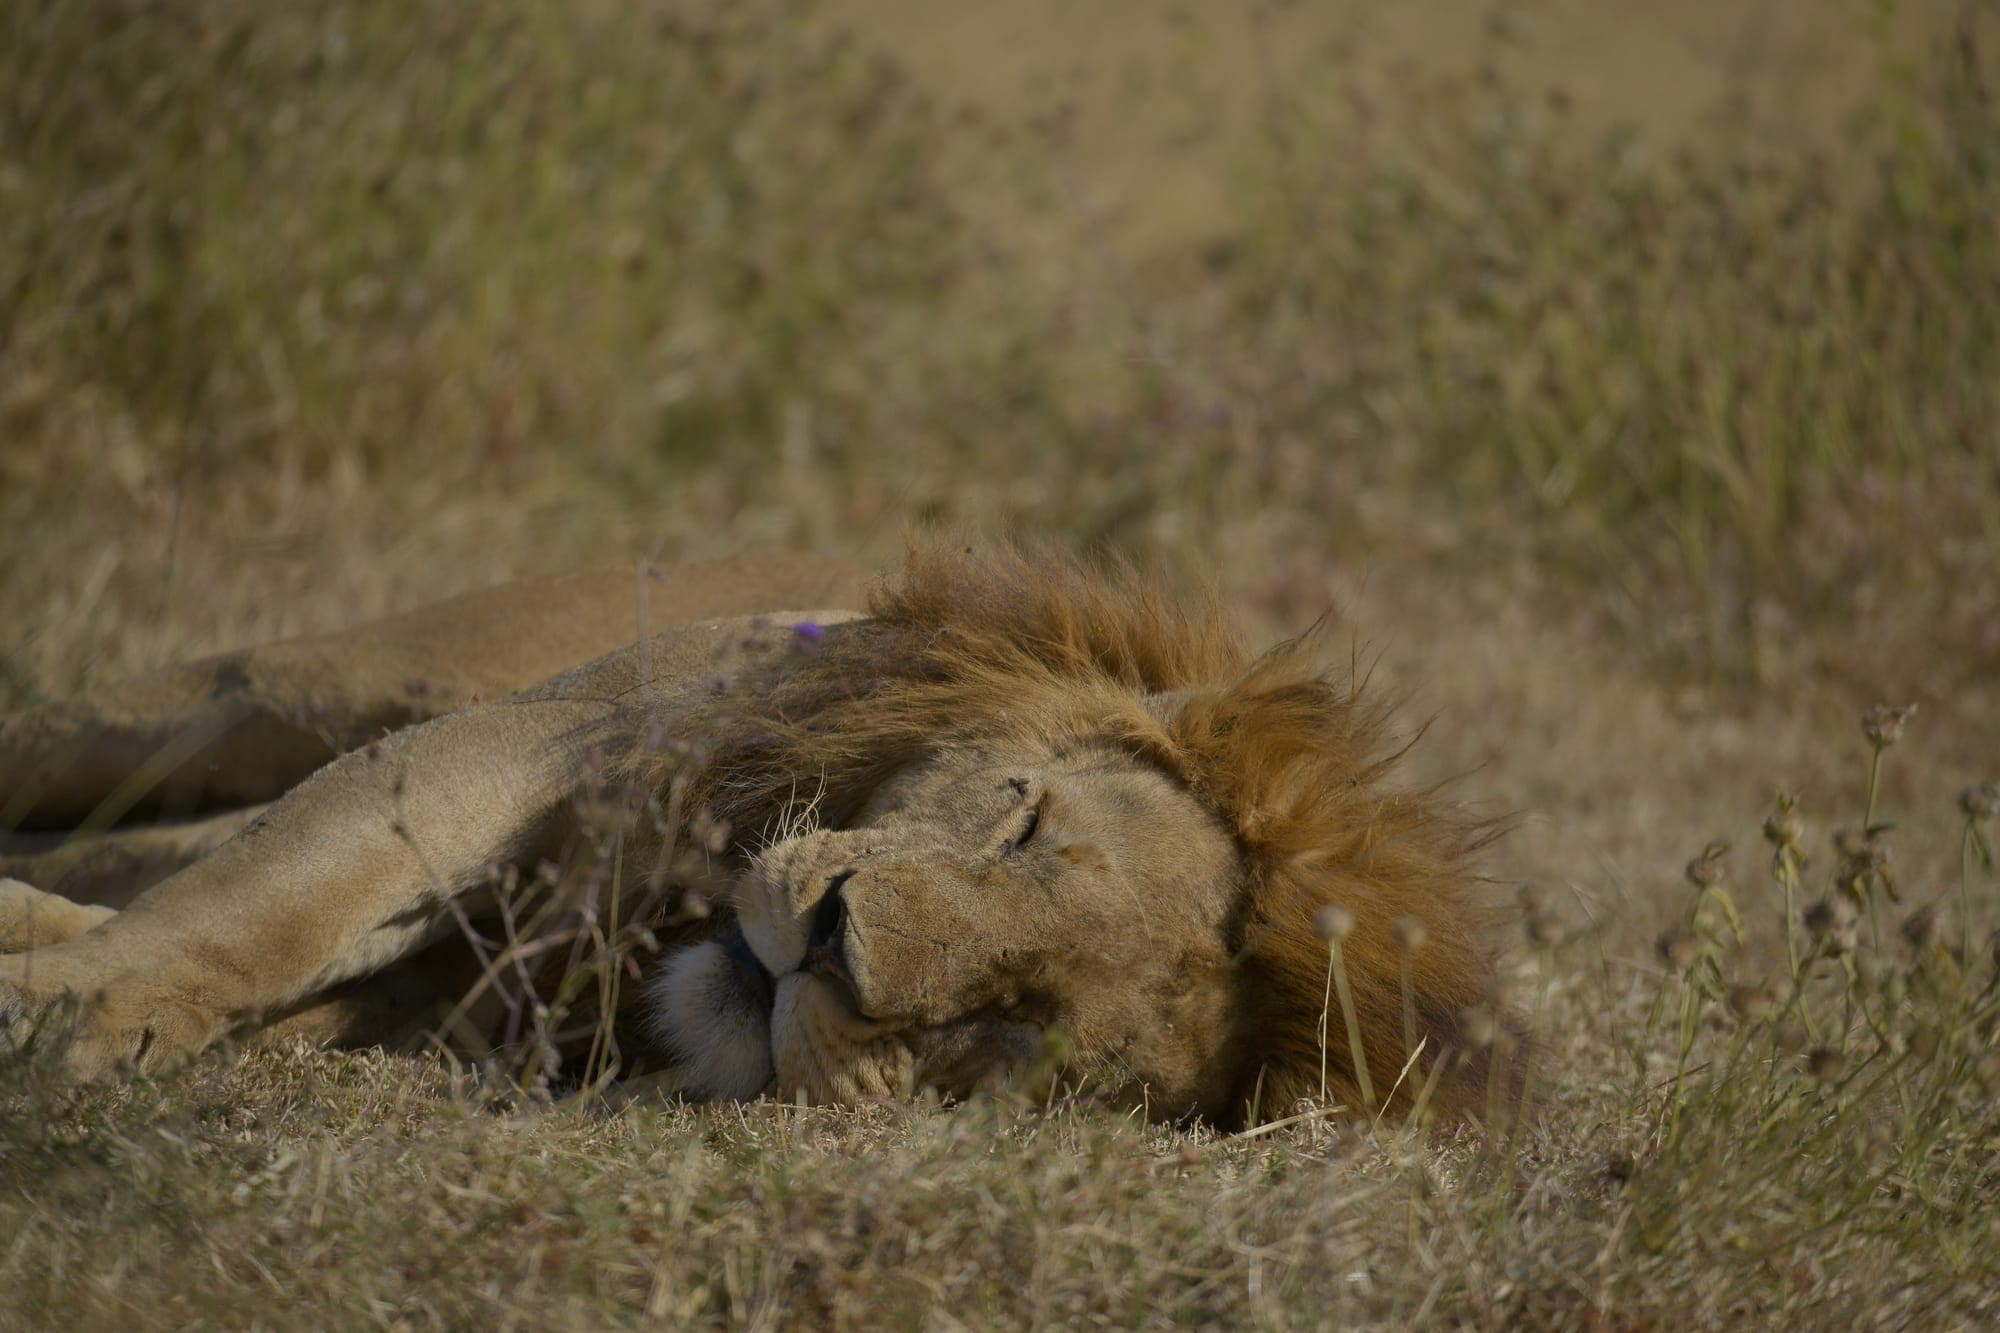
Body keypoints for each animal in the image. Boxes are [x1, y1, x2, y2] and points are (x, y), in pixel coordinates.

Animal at [0, 543, 1502, 1124]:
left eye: (1019, 1024)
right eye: (1022, 818)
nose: (829, 945)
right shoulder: (514, 751)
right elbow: (267, 908)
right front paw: (59, 1009)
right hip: (283, 686)